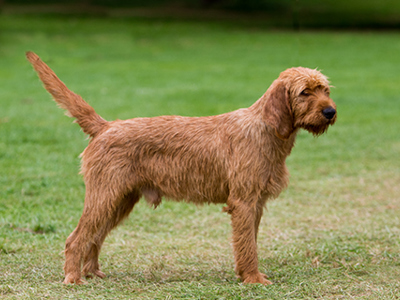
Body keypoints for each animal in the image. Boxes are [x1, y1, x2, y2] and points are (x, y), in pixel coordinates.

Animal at [26, 52, 336, 286]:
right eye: (304, 92)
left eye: (325, 90)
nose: (330, 112)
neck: (266, 129)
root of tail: (106, 126)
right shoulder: (244, 202)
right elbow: (248, 245)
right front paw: (253, 279)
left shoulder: (256, 203)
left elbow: (249, 243)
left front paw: (247, 274)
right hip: (104, 196)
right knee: (75, 238)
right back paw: (73, 278)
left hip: (119, 200)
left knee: (94, 237)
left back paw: (92, 272)